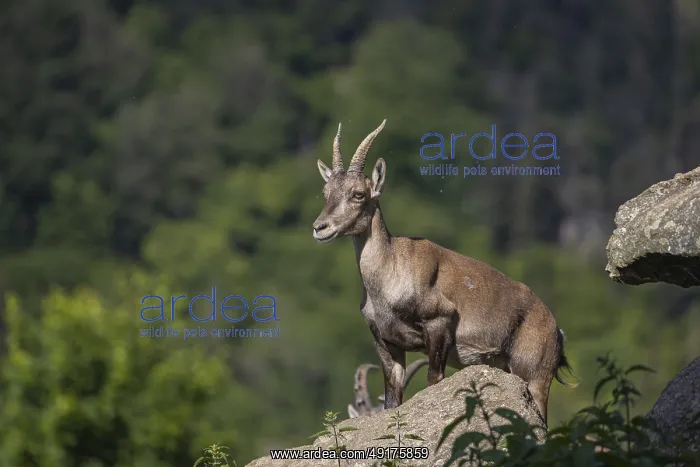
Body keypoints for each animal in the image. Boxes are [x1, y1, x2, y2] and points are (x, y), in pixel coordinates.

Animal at [312, 120, 575, 424]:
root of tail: (556, 330)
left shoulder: (439, 324)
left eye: (358, 194)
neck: (391, 272)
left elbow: (433, 380)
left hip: (535, 375)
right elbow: (392, 400)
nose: (320, 228)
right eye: (325, 193)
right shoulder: (386, 341)